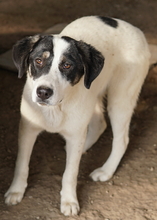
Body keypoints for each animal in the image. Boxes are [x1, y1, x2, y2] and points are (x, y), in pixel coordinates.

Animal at [4, 16, 150, 216]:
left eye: (67, 65)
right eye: (38, 61)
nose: (43, 92)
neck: (56, 108)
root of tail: (136, 30)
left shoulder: (74, 134)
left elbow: (70, 173)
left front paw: (69, 201)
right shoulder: (28, 129)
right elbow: (21, 164)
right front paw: (16, 191)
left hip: (120, 99)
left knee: (121, 140)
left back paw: (106, 170)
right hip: (94, 97)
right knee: (99, 125)